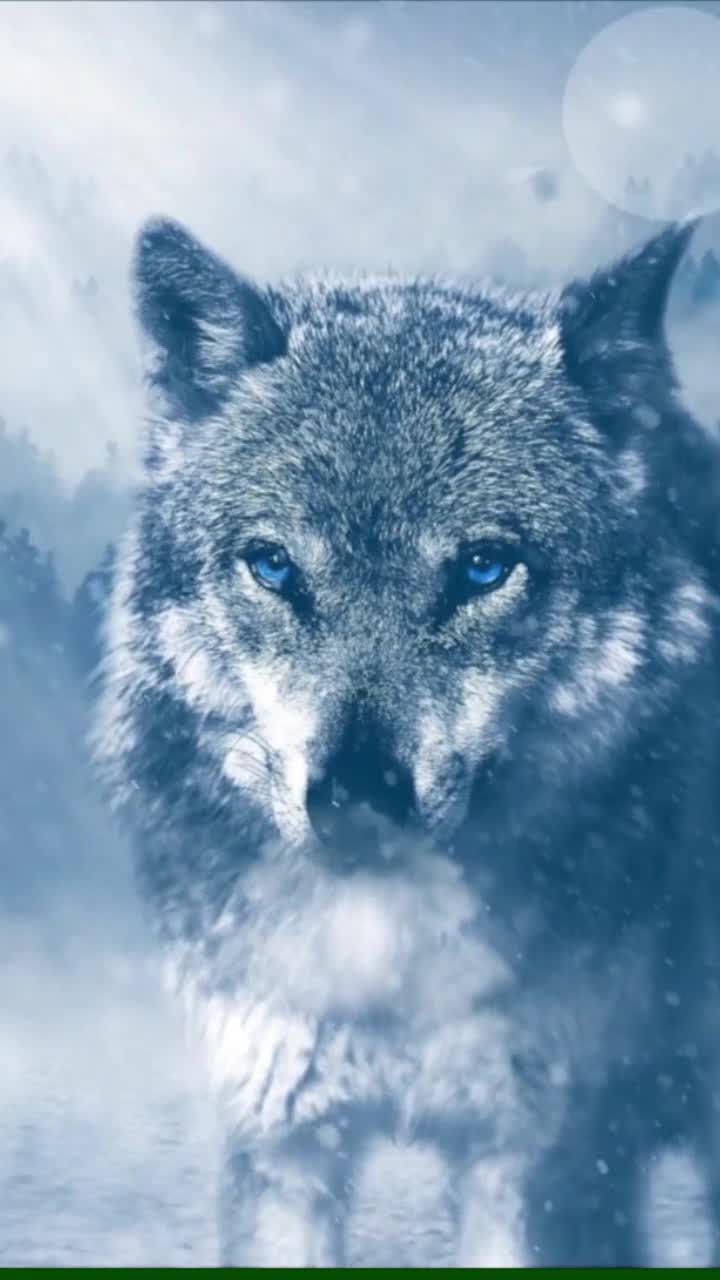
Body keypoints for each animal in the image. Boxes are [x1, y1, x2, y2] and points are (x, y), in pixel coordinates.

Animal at [93, 214, 720, 1266]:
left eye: (483, 567)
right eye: (274, 565)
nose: (357, 797)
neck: (385, 960)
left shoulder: (535, 1156)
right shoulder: (285, 1138)